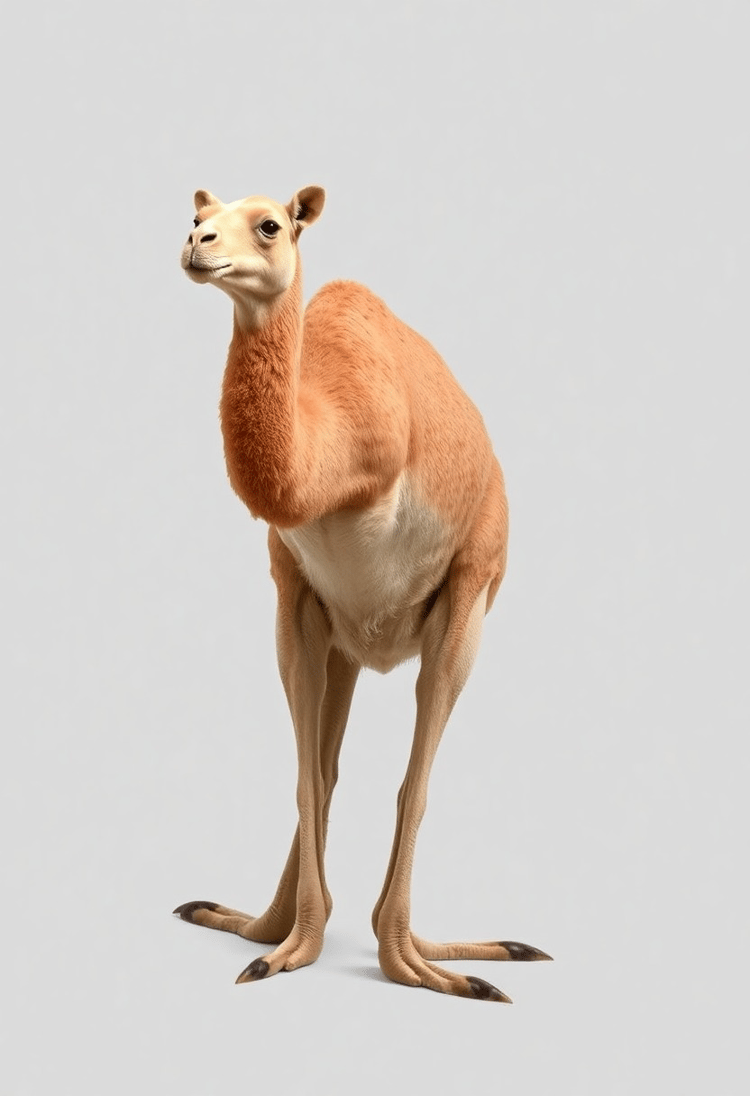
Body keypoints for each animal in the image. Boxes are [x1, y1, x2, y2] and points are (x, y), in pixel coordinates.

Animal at [174, 185, 551, 1002]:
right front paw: (288, 948)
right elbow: (310, 778)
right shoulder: (294, 600)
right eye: (197, 217)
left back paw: (443, 956)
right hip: (346, 643)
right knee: (327, 767)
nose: (196, 248)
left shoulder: (448, 606)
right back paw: (256, 927)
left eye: (271, 225)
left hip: (463, 612)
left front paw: (413, 971)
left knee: (415, 776)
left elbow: (406, 785)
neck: (333, 454)